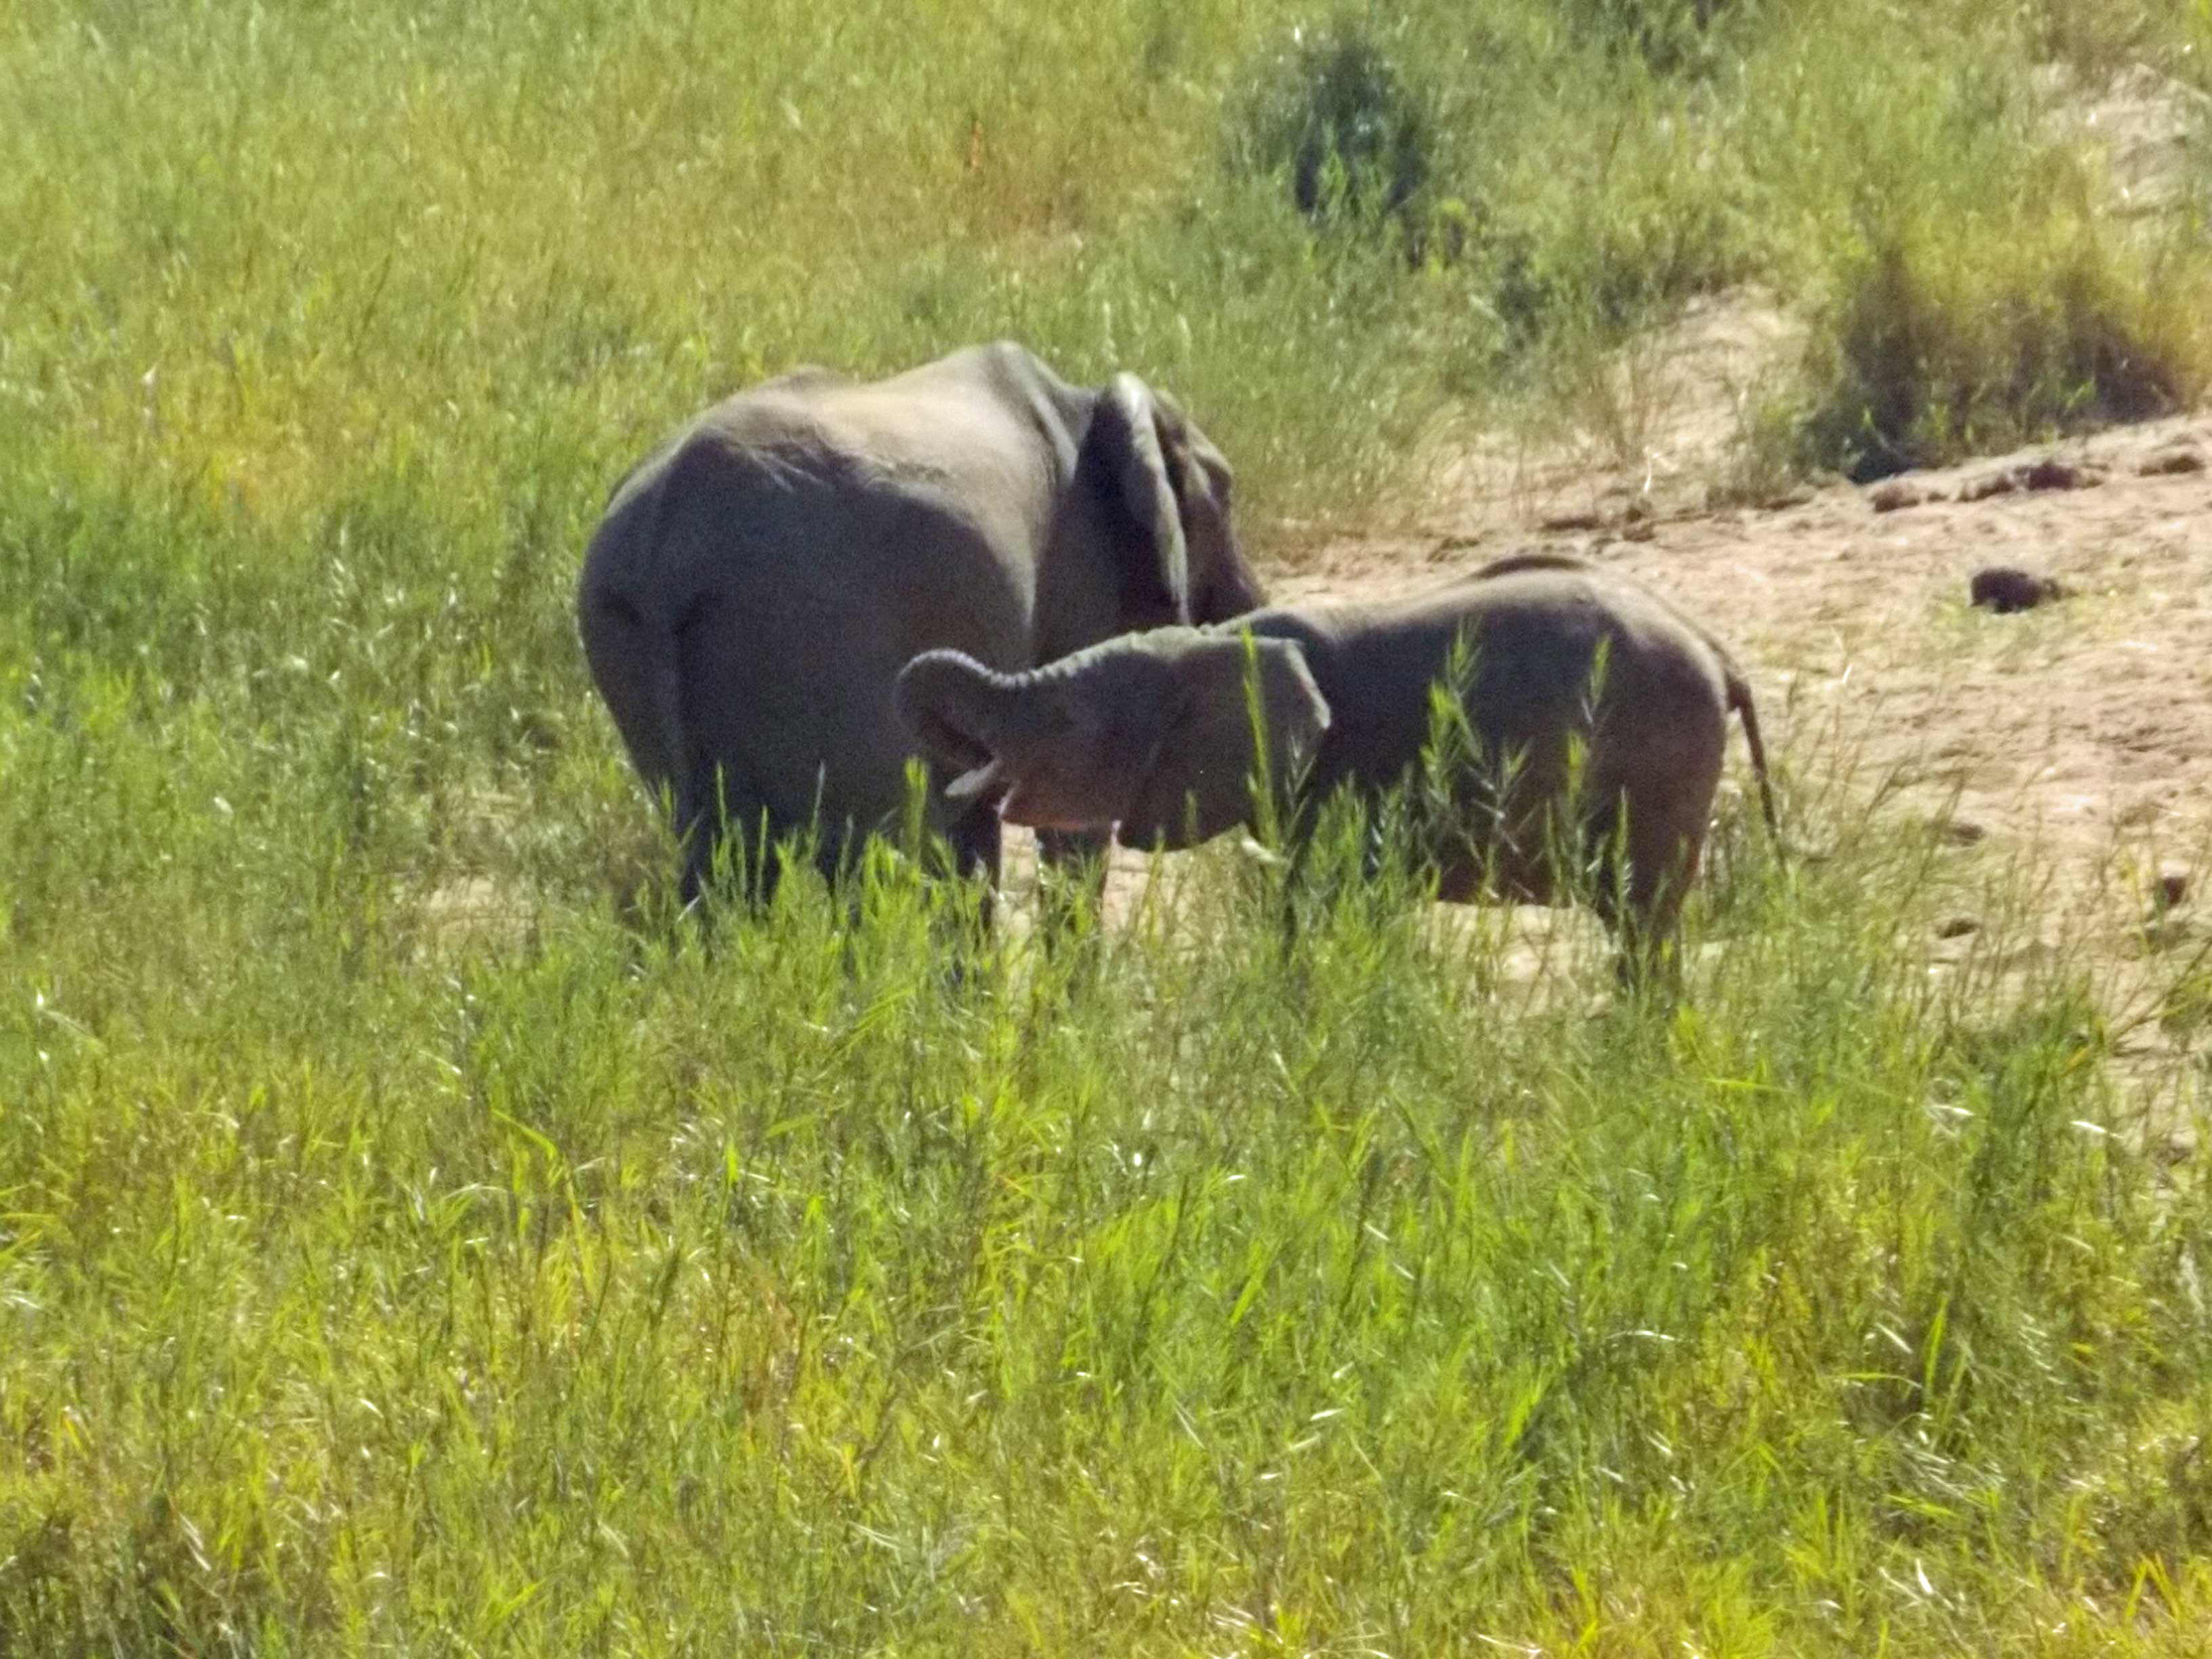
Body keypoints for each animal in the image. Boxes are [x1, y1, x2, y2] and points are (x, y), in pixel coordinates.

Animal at [577, 341, 1266, 907]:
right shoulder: (1081, 568)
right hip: (821, 640)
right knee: (873, 857)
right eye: (1227, 494)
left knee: (730, 861)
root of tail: (668, 543)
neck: (1090, 400)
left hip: (625, 644)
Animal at [895, 552, 1779, 974]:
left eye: (1071, 720)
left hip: (1659, 762)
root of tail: (1719, 651)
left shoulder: (1342, 779)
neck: (1218, 644)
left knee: (1642, 919)